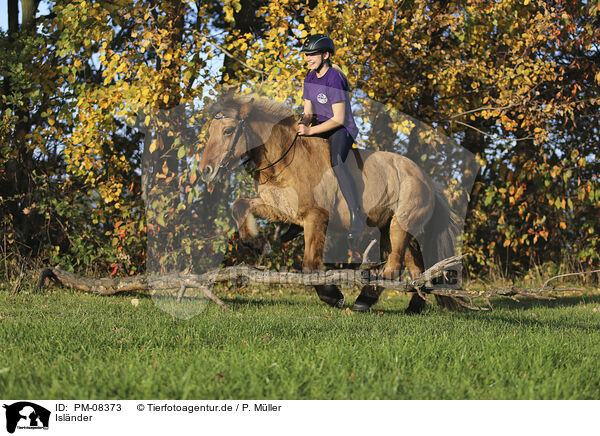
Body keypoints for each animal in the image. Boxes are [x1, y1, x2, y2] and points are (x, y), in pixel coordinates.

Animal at [199, 95, 458, 314]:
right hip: (390, 226)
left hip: (400, 224)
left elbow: (309, 265)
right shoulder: (279, 208)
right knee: (413, 265)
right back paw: (410, 305)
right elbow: (239, 206)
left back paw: (366, 300)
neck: (286, 160)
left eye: (228, 130)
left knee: (394, 267)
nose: (205, 171)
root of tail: (426, 178)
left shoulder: (316, 217)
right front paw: (259, 244)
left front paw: (333, 296)